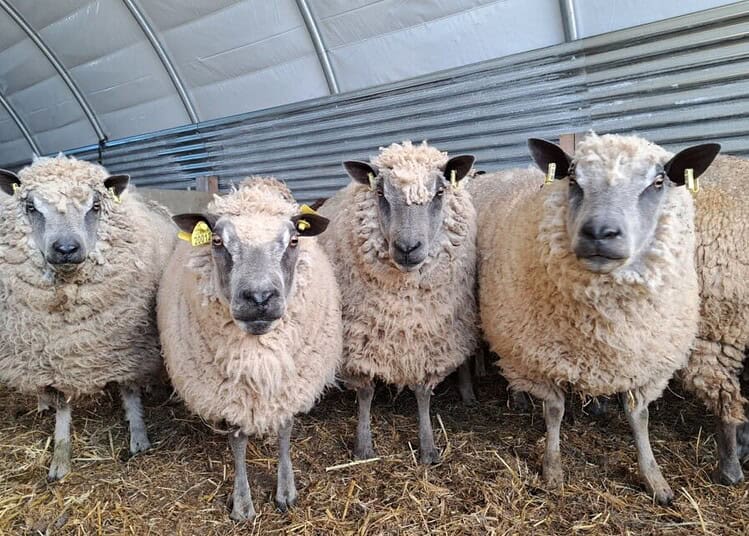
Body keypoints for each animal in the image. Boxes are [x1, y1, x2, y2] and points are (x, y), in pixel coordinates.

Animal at [0, 155, 176, 481]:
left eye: (95, 206)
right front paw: (60, 455)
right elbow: (62, 406)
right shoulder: (55, 360)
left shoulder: (126, 346)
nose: (66, 249)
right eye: (31, 206)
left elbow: (129, 390)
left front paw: (138, 436)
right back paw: (41, 402)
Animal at [158, 178, 341, 521]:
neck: (259, 357)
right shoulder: (228, 393)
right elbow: (237, 439)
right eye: (217, 241)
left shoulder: (289, 385)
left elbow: (284, 429)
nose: (259, 298)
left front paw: (286, 491)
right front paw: (242, 503)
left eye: (294, 240)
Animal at [316, 140, 478, 464]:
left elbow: (423, 394)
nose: (407, 248)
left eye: (439, 192)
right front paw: (363, 445)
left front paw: (428, 447)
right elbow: (365, 394)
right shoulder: (357, 339)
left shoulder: (427, 340)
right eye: (380, 193)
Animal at [471, 133, 720, 504]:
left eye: (658, 182)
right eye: (574, 179)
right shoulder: (540, 356)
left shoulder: (645, 362)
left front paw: (655, 480)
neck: (605, 317)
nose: (600, 232)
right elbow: (555, 411)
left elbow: (639, 416)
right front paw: (553, 470)